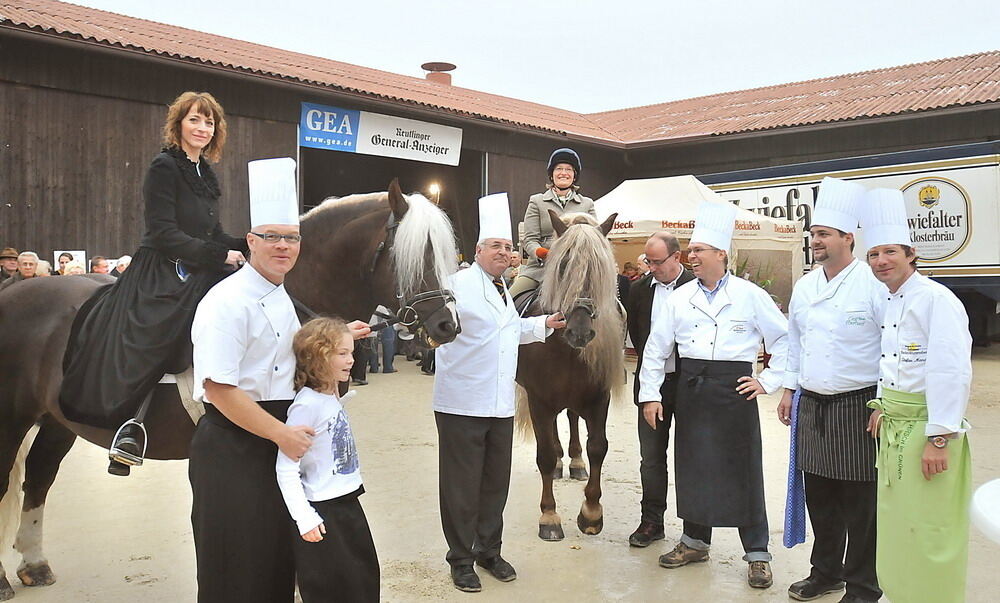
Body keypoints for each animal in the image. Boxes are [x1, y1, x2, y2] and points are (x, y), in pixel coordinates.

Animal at [516, 210, 624, 540]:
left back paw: (575, 461)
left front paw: (591, 513)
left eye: (601, 269)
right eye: (563, 265)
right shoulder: (538, 400)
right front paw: (549, 516)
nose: (580, 331)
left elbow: (598, 447)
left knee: (573, 419)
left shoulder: (598, 398)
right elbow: (544, 456)